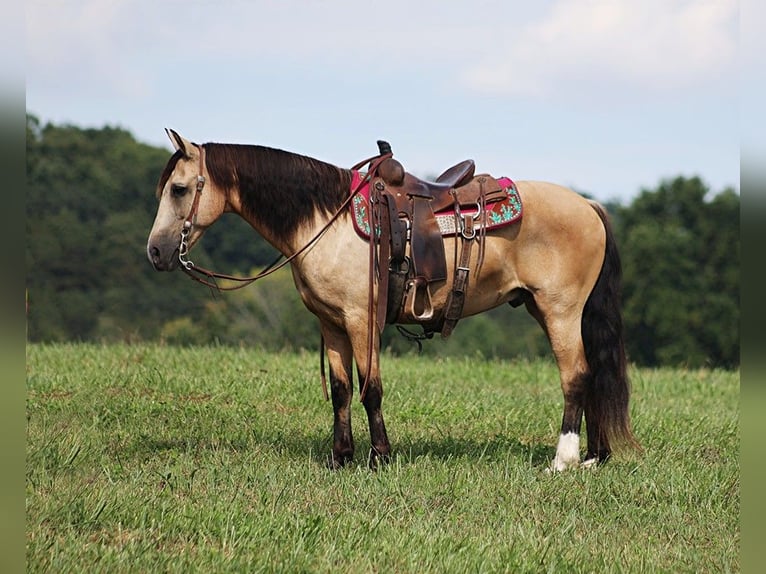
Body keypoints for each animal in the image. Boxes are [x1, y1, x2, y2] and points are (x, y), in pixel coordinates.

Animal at [147, 129, 638, 471]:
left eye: (178, 189)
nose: (155, 252)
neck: (327, 220)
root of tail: (589, 205)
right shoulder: (331, 324)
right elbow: (342, 390)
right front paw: (340, 457)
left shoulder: (361, 319)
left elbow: (372, 388)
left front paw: (379, 456)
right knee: (593, 376)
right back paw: (594, 456)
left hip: (560, 311)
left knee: (576, 376)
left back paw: (564, 460)